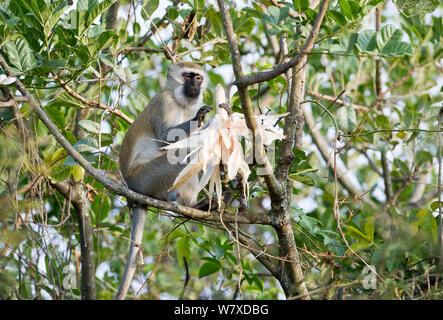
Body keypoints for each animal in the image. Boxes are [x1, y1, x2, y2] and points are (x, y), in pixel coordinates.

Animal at [116, 62, 213, 300]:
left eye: (198, 77)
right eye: (188, 76)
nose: (195, 84)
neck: (180, 102)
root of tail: (132, 188)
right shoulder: (165, 103)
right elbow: (166, 139)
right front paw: (202, 120)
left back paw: (194, 205)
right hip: (147, 178)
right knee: (186, 153)